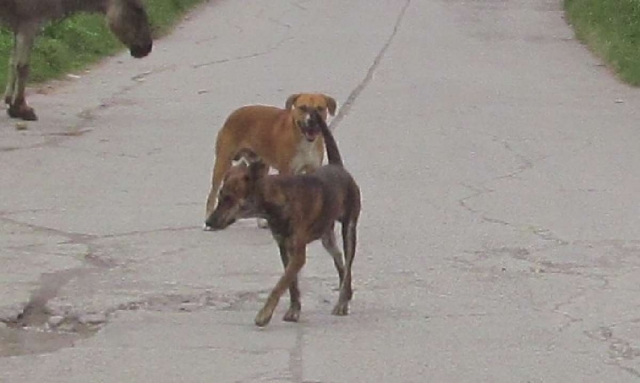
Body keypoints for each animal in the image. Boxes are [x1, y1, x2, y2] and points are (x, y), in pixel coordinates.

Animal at [0, 0, 154, 120]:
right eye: (138, 8)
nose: (147, 46)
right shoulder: (29, 22)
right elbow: (22, 66)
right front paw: (21, 108)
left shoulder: (18, 25)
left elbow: (12, 64)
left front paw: (11, 105)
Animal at [205, 93, 338, 226]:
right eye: (303, 108)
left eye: (320, 108)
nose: (311, 120)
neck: (305, 140)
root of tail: (232, 115)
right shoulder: (286, 171)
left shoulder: (312, 169)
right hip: (223, 162)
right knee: (212, 195)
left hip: (261, 166)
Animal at [208, 109, 362, 328]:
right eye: (220, 197)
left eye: (229, 199)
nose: (208, 222)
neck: (277, 200)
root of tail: (337, 166)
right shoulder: (284, 248)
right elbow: (292, 285)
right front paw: (294, 310)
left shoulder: (297, 254)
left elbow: (281, 284)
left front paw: (264, 314)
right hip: (326, 233)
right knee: (339, 257)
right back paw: (345, 291)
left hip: (349, 227)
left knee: (348, 262)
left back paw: (341, 302)